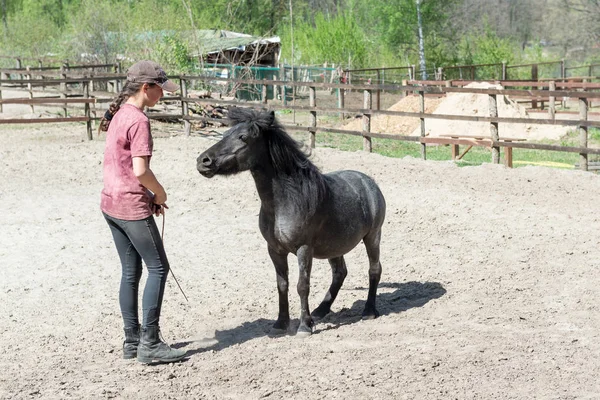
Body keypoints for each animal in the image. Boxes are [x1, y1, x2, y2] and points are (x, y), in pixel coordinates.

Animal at [195, 108, 386, 336]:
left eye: (243, 137)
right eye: (225, 134)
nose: (203, 161)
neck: (285, 202)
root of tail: (369, 182)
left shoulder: (304, 249)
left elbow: (302, 285)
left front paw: (304, 326)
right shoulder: (275, 250)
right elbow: (282, 285)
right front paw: (281, 324)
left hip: (372, 237)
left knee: (374, 269)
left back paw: (369, 311)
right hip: (334, 246)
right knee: (339, 273)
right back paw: (320, 311)